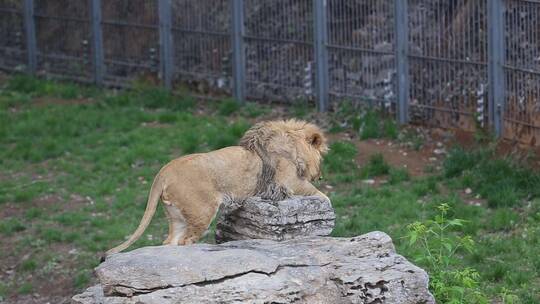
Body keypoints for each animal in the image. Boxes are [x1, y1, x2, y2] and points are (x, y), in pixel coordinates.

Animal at [103, 119, 326, 256]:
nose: (321, 175)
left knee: (170, 241)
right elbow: (318, 193)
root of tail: (164, 171)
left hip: (177, 216)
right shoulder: (289, 181)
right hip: (202, 211)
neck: (292, 141)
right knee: (186, 240)